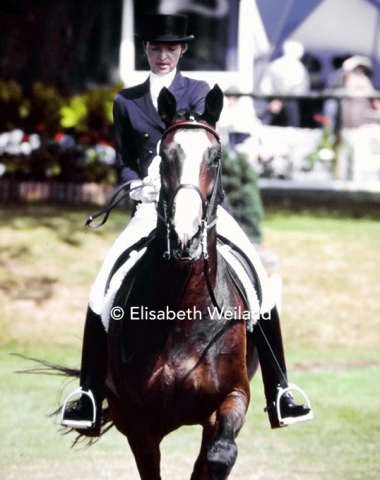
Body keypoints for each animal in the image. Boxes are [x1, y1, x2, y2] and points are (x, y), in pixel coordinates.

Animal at [103, 86, 258, 480]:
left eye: (215, 157)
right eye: (164, 155)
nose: (185, 237)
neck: (183, 306)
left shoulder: (233, 397)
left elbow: (218, 456)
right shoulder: (139, 424)